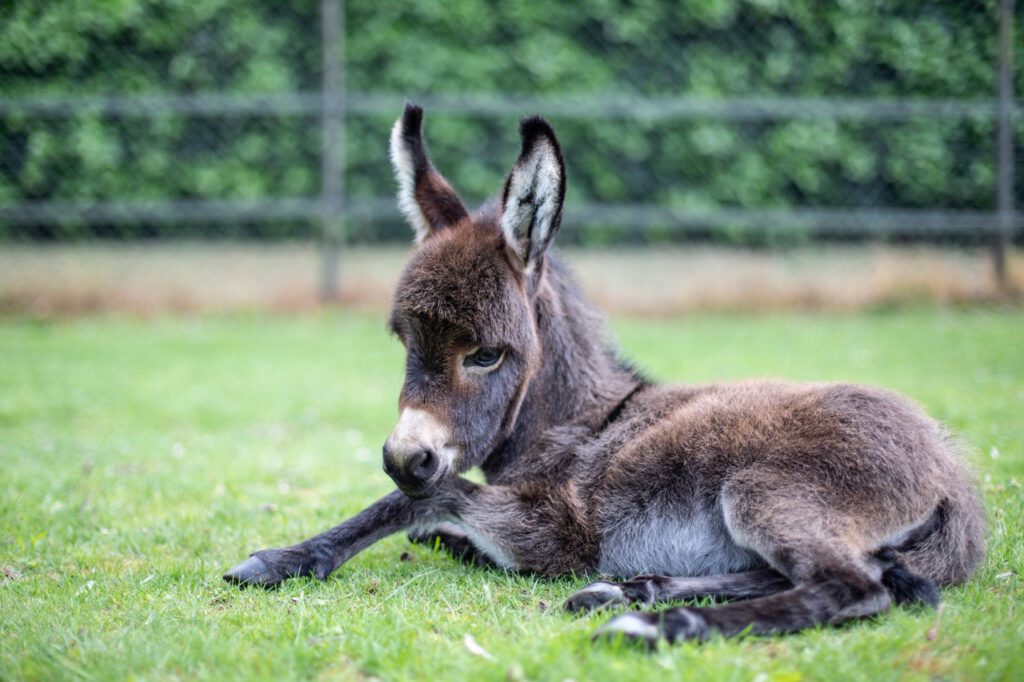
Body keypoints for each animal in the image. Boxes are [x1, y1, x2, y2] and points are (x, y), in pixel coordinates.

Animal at [226, 102, 983, 643]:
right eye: (403, 340)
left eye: (486, 354)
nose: (403, 455)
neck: (582, 421)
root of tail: (954, 474)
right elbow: (424, 510)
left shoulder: (559, 529)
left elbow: (423, 500)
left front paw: (282, 559)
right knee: (835, 574)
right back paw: (629, 591)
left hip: (765, 489)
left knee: (853, 585)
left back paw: (648, 623)